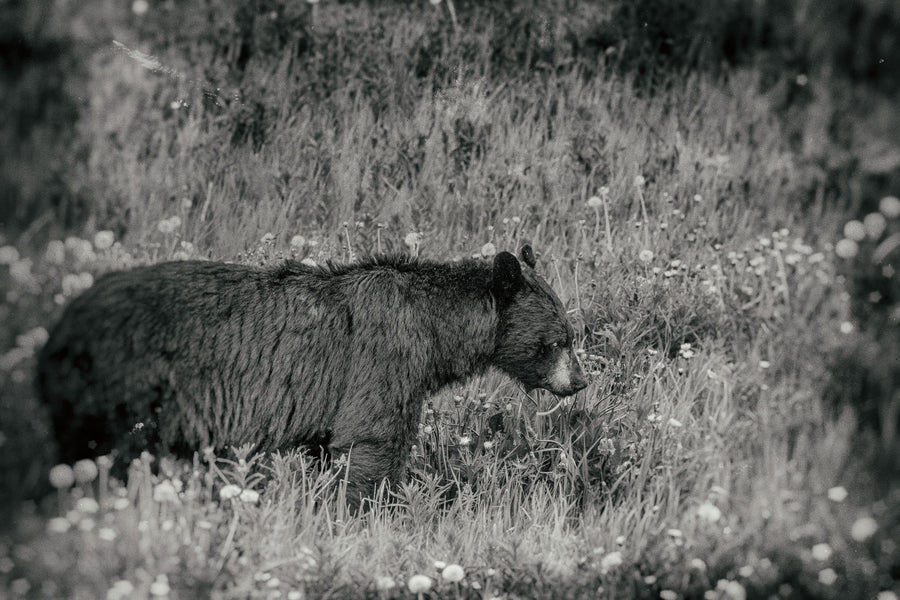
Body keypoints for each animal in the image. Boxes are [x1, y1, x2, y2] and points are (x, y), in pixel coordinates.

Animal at [37, 244, 587, 507]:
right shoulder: (383, 360)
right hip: (121, 391)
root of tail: (61, 326)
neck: (435, 331)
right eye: (559, 339)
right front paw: (371, 514)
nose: (579, 382)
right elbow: (373, 442)